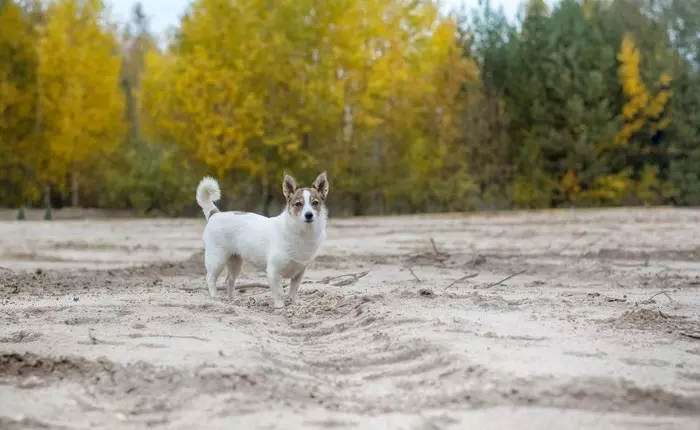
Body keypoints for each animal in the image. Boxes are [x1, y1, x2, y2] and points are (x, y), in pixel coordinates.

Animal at [196, 170, 330, 308]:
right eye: (298, 204)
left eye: (315, 203)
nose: (309, 215)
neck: (302, 232)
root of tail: (215, 214)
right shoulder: (273, 272)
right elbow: (279, 292)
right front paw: (279, 306)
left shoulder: (299, 273)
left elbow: (294, 289)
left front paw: (295, 303)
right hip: (217, 260)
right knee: (210, 278)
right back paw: (214, 298)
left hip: (235, 261)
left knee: (229, 281)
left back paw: (233, 300)